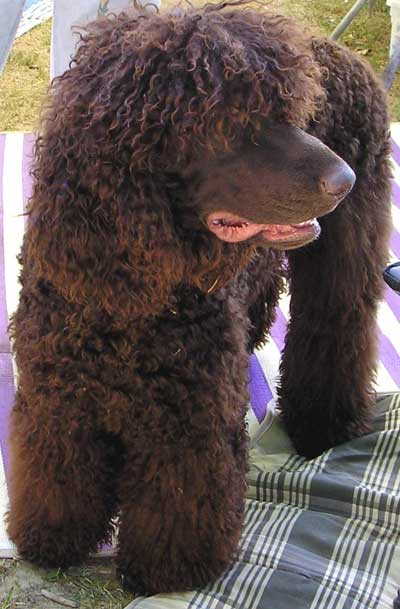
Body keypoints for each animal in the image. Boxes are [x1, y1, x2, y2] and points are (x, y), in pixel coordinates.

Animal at [6, 0, 392, 592]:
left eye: (290, 110)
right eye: (231, 122)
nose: (343, 178)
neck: (128, 302)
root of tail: (338, 48)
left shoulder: (188, 428)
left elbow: (175, 506)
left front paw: (164, 572)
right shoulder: (58, 404)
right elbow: (59, 478)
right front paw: (55, 537)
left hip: (345, 255)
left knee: (336, 325)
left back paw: (323, 422)